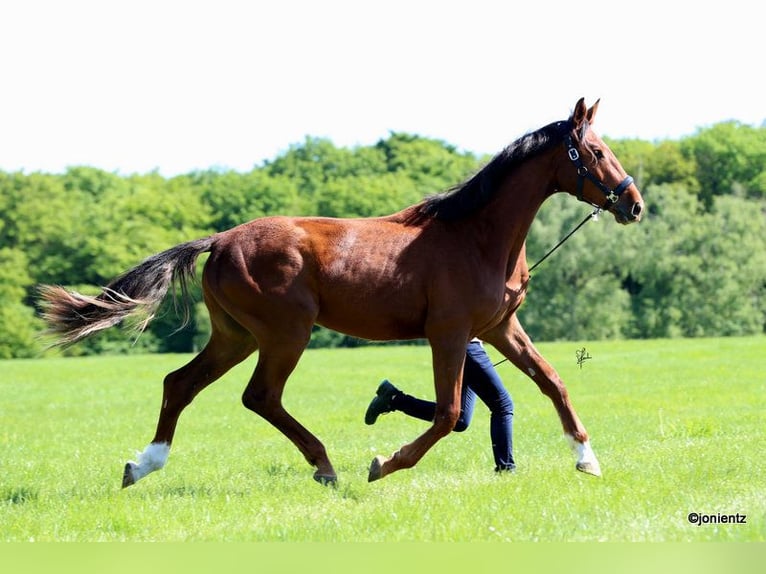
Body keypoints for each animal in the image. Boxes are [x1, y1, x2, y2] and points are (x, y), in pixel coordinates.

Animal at [39, 98, 643, 488]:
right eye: (593, 151)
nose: (633, 204)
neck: (476, 236)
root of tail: (221, 240)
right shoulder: (448, 334)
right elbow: (448, 412)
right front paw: (384, 464)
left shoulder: (499, 328)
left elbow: (553, 382)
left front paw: (587, 459)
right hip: (286, 333)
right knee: (260, 397)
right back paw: (326, 466)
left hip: (236, 336)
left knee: (180, 384)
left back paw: (143, 465)